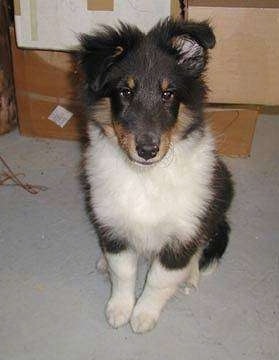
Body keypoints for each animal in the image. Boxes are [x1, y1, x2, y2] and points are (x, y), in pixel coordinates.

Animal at [77, 18, 234, 334]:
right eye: (125, 92)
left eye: (168, 93)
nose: (147, 150)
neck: (145, 176)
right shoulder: (113, 223)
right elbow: (123, 272)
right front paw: (119, 309)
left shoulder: (183, 233)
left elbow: (159, 280)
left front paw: (143, 315)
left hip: (220, 190)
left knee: (203, 241)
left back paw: (191, 275)